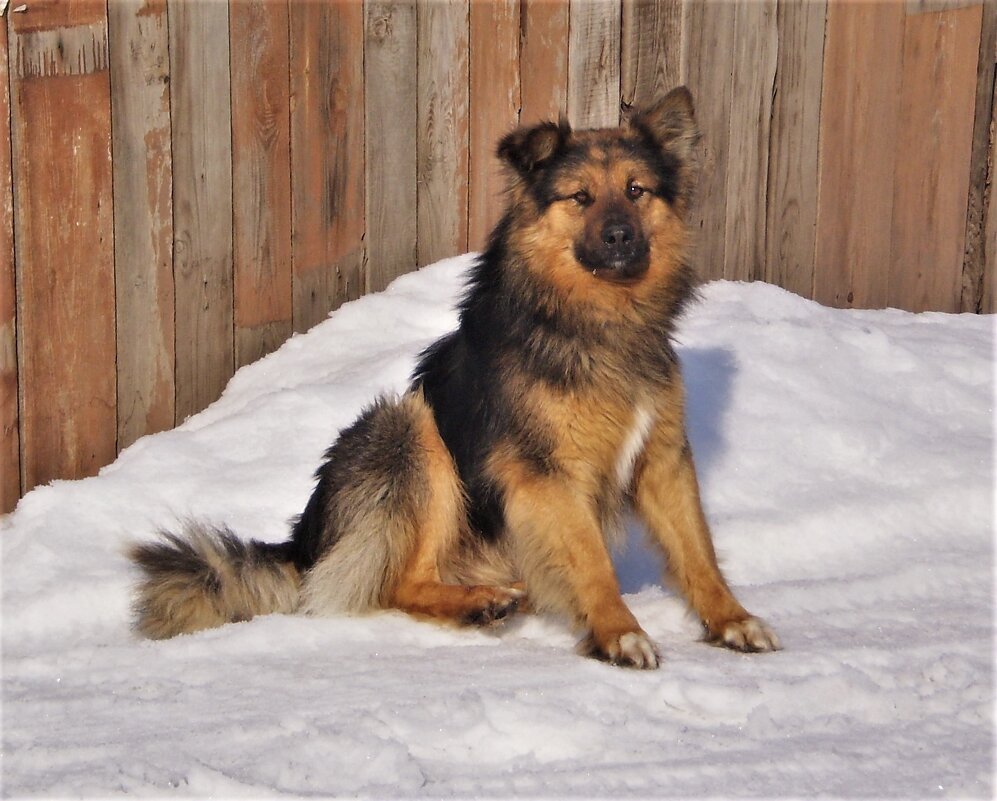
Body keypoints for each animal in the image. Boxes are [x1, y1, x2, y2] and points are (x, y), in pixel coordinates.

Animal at [128, 86, 780, 668]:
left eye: (636, 191)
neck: (599, 321)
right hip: (411, 431)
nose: (620, 236)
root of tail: (305, 541)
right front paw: (620, 633)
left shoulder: (663, 458)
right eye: (580, 197)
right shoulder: (547, 473)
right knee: (396, 581)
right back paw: (476, 603)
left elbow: (699, 552)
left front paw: (732, 620)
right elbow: (593, 562)